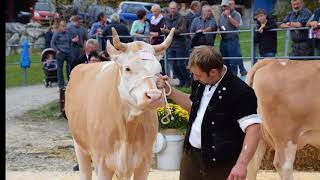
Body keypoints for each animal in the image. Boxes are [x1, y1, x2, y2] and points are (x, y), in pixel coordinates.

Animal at [65, 27, 175, 180]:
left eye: (158, 70)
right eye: (127, 68)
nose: (153, 96)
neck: (127, 127)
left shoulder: (144, 161)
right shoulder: (102, 163)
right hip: (79, 146)